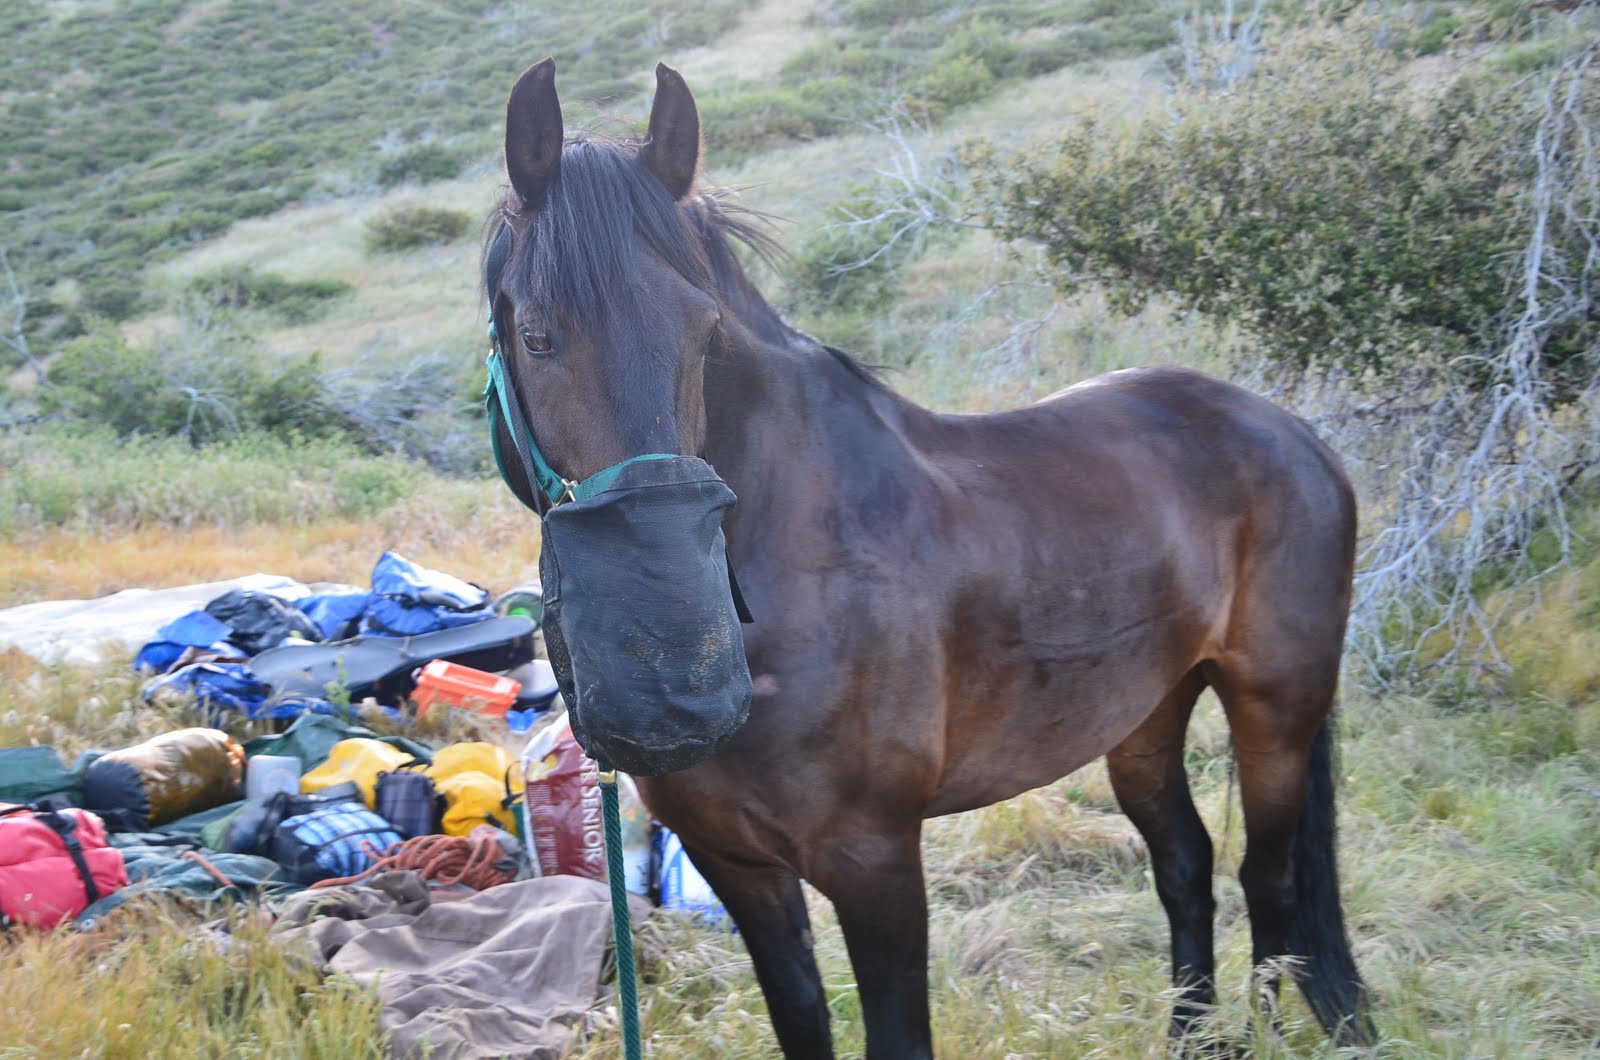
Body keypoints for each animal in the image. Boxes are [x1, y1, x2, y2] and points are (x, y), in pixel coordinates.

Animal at [482, 58, 1375, 1058]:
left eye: (705, 332)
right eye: (536, 334)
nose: (675, 681)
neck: (796, 560)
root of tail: (1291, 430)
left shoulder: (874, 862)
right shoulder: (736, 865)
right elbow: (802, 1018)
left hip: (1276, 707)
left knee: (1272, 879)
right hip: (1147, 712)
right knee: (1188, 863)